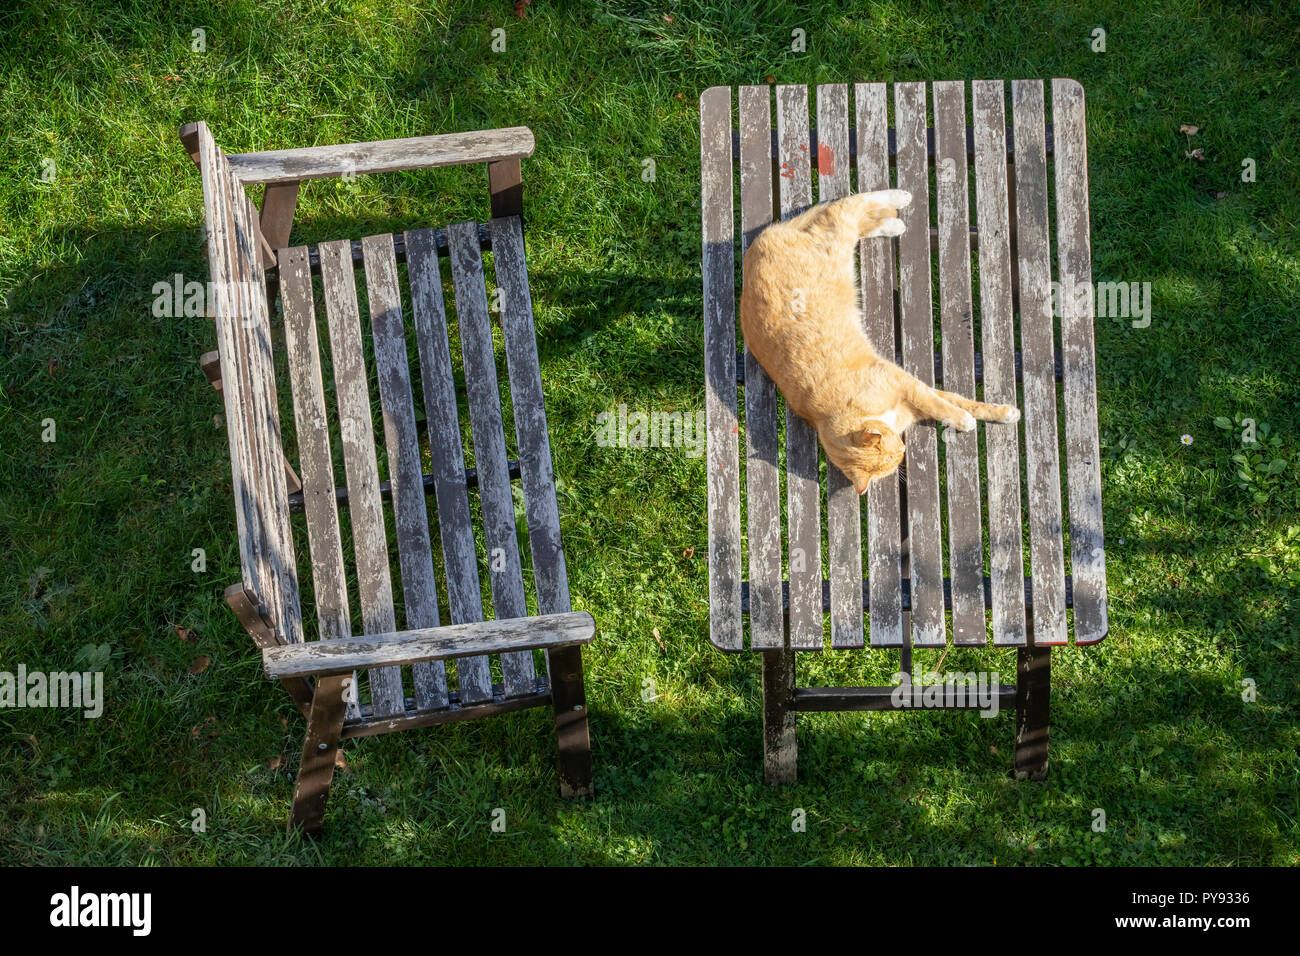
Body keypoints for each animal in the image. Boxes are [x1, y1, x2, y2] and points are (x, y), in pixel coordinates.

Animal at [738, 191, 1019, 496]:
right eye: (893, 457)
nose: (903, 451)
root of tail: (756, 247)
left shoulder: (904, 383)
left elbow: (948, 403)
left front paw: (989, 415)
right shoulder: (910, 395)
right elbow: (951, 401)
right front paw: (986, 416)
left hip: (838, 234)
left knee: (849, 204)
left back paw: (898, 199)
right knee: (853, 217)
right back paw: (893, 223)